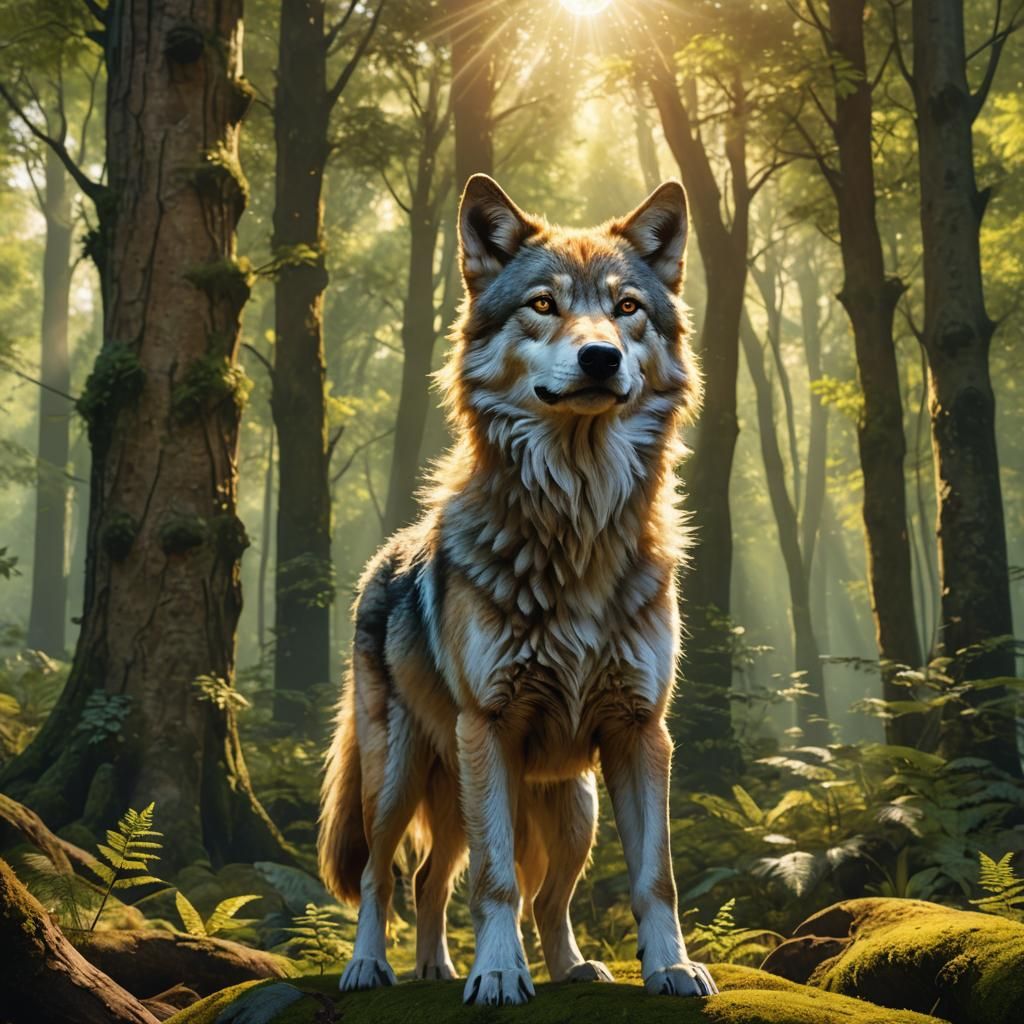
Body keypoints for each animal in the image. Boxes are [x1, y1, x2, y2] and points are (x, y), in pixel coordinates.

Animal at [318, 174, 717, 1006]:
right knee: (386, 878)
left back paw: (543, 968)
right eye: (543, 303)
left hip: (572, 807)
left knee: (522, 894)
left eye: (626, 307)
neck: (577, 523)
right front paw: (499, 974)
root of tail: (381, 561)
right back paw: (374, 967)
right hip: (401, 778)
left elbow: (654, 879)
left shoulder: (640, 731)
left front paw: (669, 968)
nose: (599, 357)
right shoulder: (489, 727)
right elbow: (494, 882)